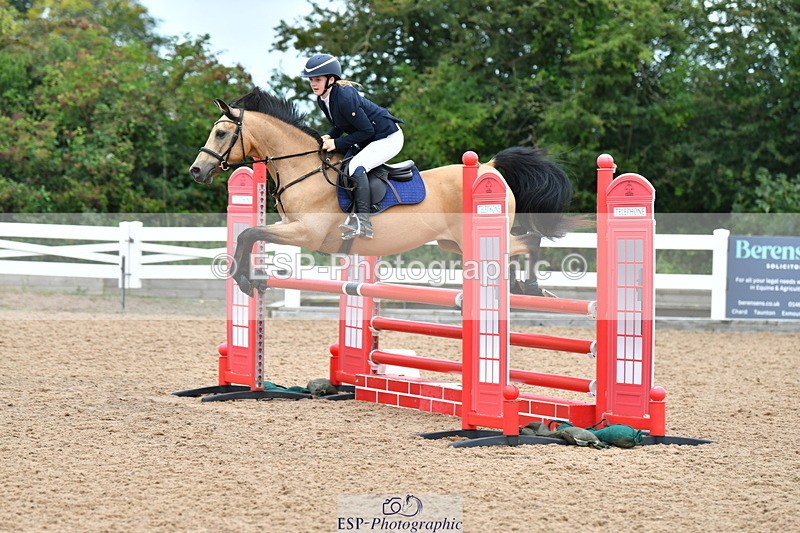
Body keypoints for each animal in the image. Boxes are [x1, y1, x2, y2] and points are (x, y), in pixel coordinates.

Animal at [189, 88, 572, 297]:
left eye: (221, 134)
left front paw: (243, 280)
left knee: (528, 241)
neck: (303, 169)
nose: (197, 170)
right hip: (454, 243)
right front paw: (248, 278)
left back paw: (532, 287)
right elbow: (252, 235)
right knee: (515, 249)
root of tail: (490, 166)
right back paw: (520, 287)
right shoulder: (292, 229)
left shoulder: (306, 233)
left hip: (471, 236)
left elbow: (250, 233)